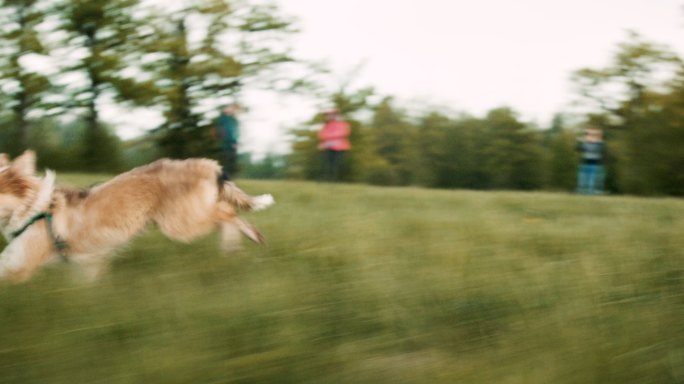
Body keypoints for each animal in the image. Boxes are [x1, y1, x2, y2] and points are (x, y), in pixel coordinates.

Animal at [0, 151, 272, 282]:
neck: (32, 207)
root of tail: (207, 165)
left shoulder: (21, 265)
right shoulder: (87, 262)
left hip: (180, 223)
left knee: (227, 212)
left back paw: (244, 240)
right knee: (227, 213)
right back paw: (240, 244)